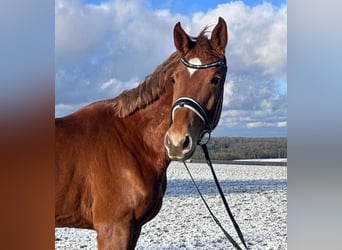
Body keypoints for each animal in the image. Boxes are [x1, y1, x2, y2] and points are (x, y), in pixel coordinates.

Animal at [54, 16, 228, 249]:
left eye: (216, 79)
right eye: (174, 79)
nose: (177, 142)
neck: (132, 140)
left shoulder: (134, 229)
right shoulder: (114, 229)